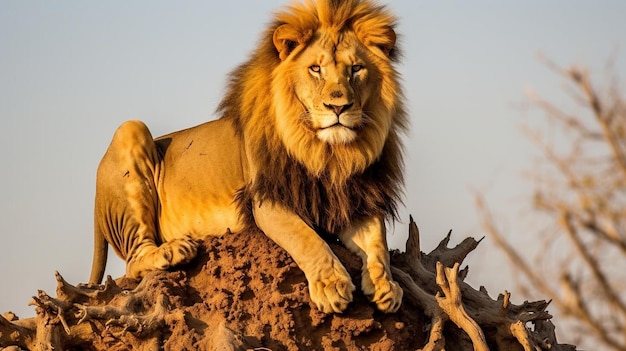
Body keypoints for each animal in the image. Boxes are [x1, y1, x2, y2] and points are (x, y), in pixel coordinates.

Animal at [90, 0, 408, 314]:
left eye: (356, 68)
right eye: (316, 69)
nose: (338, 107)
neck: (328, 153)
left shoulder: (354, 200)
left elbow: (377, 241)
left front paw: (386, 285)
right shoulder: (266, 200)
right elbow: (306, 238)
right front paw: (331, 285)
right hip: (130, 131)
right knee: (134, 261)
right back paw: (174, 250)